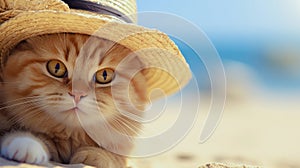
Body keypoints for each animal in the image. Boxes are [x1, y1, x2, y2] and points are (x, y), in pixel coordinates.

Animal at [0, 33, 149, 167]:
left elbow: (118, 158)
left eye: (104, 75)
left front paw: (96, 155)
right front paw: (26, 143)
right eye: (56, 67)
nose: (77, 94)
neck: (72, 137)